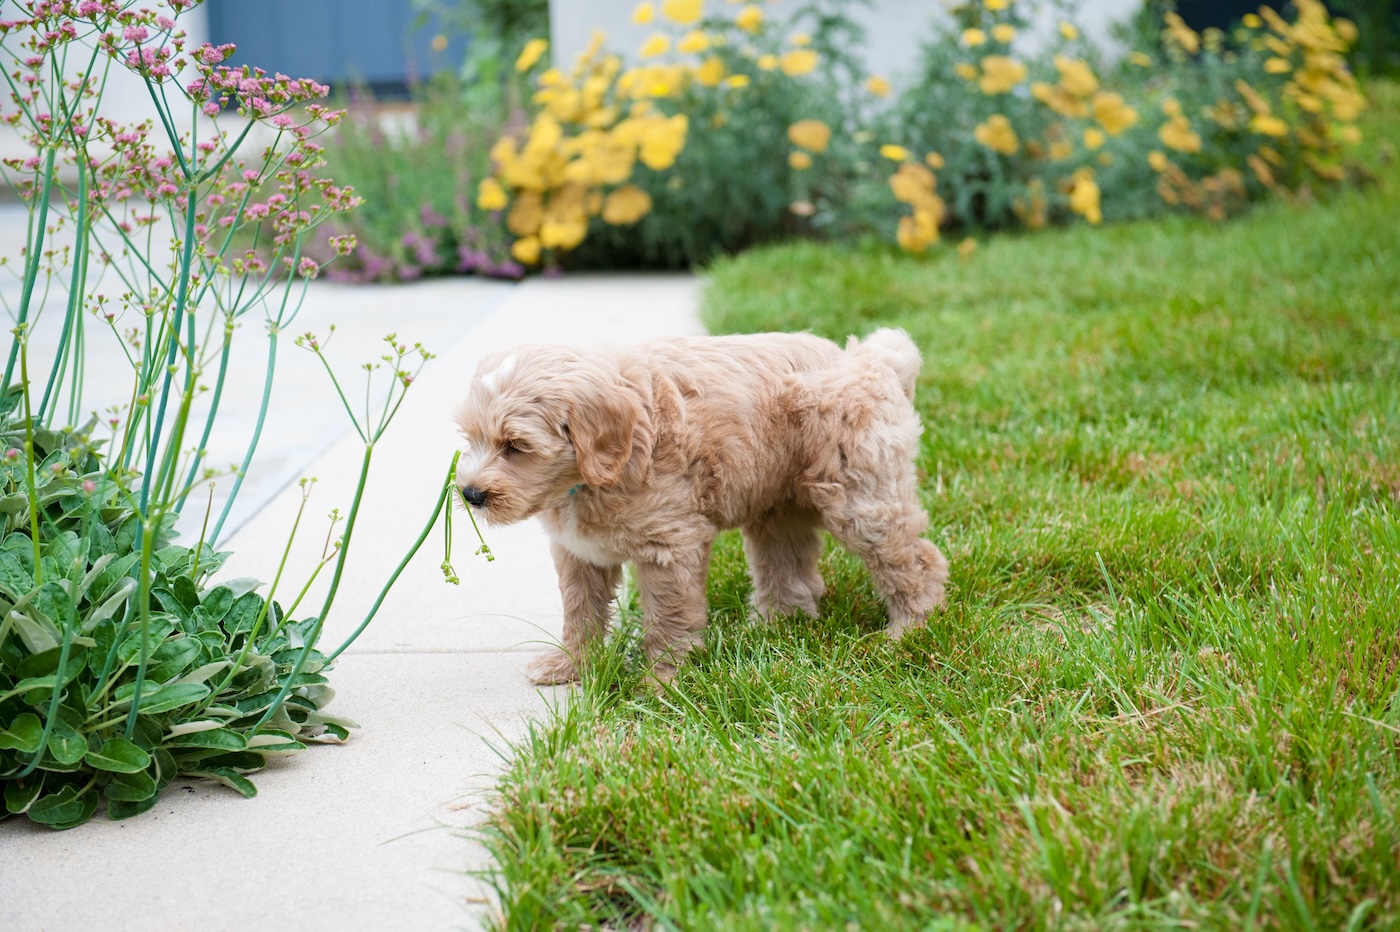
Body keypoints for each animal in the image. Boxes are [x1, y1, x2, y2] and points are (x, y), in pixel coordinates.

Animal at [459, 328, 952, 682]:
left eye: (516, 446)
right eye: (471, 439)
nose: (470, 494)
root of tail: (873, 359)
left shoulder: (670, 543)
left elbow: (669, 614)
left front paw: (662, 681)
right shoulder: (579, 553)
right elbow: (580, 610)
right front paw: (571, 666)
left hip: (860, 498)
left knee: (914, 557)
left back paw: (908, 629)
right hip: (777, 505)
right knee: (787, 561)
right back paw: (775, 624)